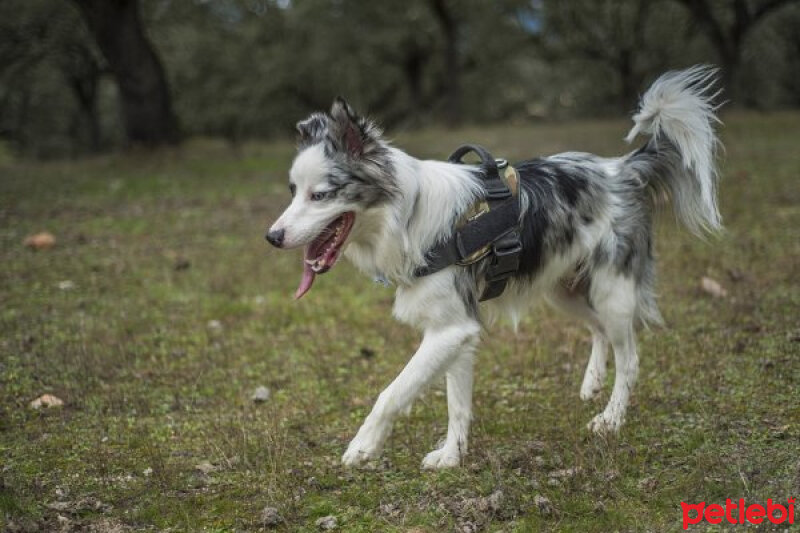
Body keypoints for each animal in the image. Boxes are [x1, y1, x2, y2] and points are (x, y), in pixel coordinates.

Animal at [266, 65, 720, 466]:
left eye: (320, 195)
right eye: (292, 191)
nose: (272, 237)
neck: (405, 215)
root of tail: (622, 167)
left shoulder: (449, 329)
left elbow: (392, 392)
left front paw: (363, 448)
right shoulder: (456, 329)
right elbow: (457, 402)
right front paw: (453, 457)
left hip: (612, 292)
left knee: (629, 357)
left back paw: (609, 419)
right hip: (564, 290)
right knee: (598, 330)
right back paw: (591, 383)